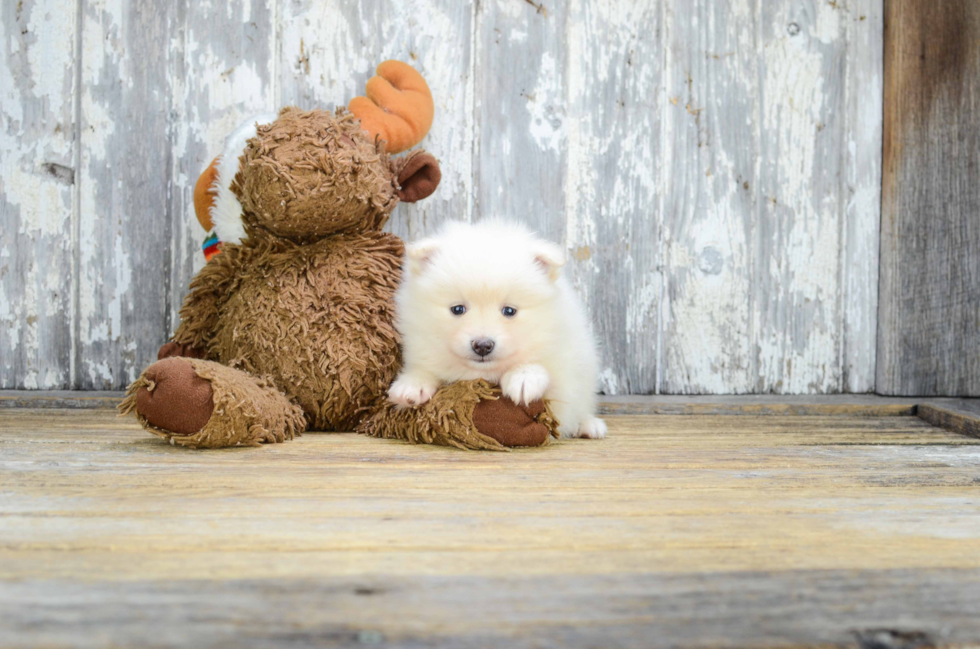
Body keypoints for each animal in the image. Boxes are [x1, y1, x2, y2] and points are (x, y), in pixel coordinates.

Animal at [388, 220, 604, 438]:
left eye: (509, 311)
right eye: (458, 309)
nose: (483, 345)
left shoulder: (564, 371)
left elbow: (548, 382)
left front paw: (523, 377)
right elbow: (425, 369)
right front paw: (412, 385)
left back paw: (589, 425)